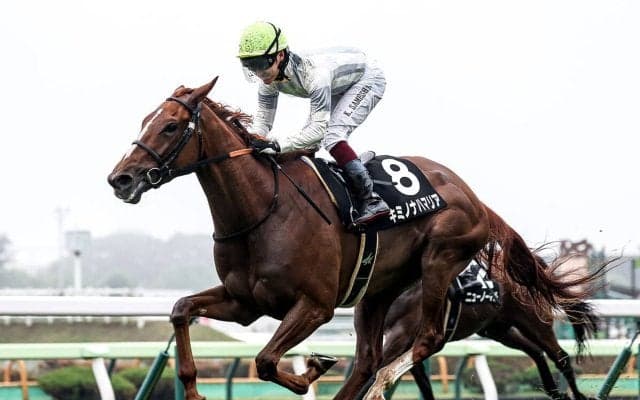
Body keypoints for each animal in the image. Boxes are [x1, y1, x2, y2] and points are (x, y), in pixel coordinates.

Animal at [377, 253, 600, 400]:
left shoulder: (400, 337)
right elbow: (424, 387)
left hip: (534, 322)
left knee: (560, 357)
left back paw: (577, 395)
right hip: (499, 330)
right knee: (536, 352)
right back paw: (554, 392)